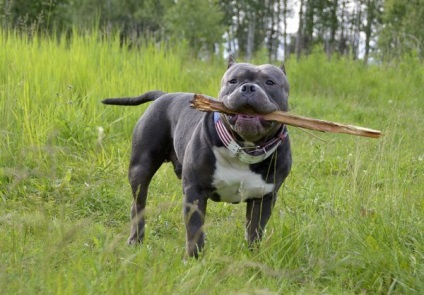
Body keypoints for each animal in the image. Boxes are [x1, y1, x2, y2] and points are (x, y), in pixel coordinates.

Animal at [102, 56, 292, 260]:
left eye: (270, 82)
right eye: (233, 81)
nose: (248, 87)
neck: (243, 148)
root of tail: (163, 95)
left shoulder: (263, 197)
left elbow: (255, 231)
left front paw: (252, 257)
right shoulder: (195, 192)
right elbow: (194, 230)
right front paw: (194, 259)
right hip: (140, 168)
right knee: (138, 204)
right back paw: (135, 239)